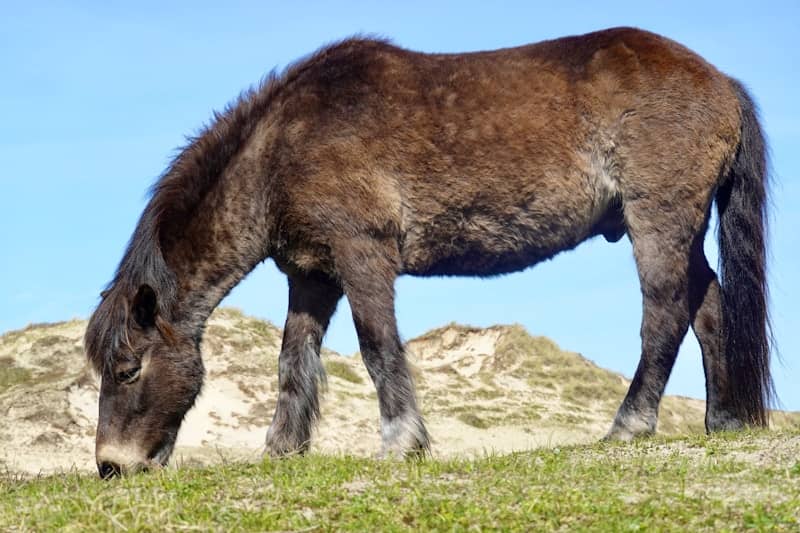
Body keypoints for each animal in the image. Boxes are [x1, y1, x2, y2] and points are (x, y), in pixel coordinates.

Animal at [85, 27, 772, 477]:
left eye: (128, 370)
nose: (111, 466)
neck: (281, 146)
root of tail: (721, 83)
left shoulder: (362, 255)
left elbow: (376, 345)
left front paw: (401, 442)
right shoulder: (312, 275)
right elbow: (293, 361)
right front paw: (282, 450)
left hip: (657, 219)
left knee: (664, 315)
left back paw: (629, 424)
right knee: (709, 305)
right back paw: (724, 421)